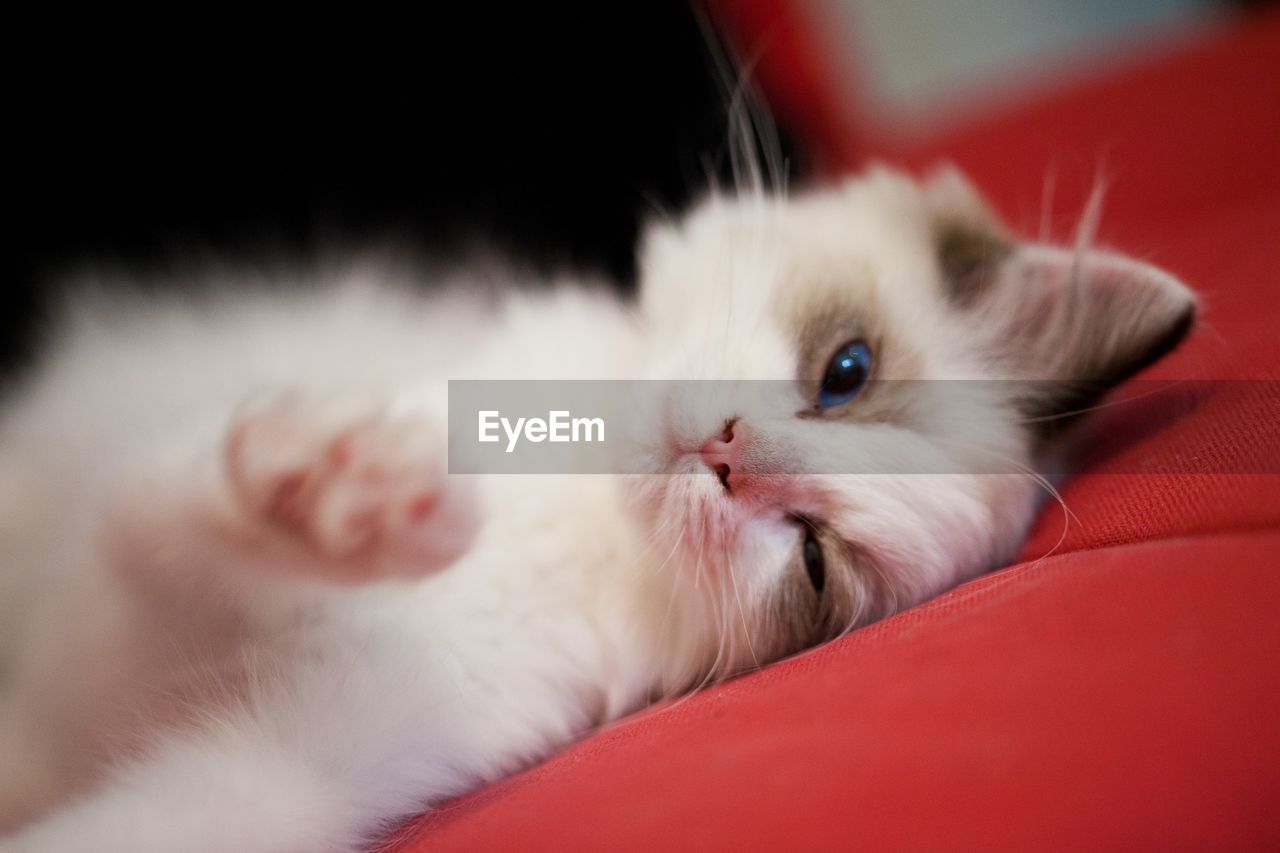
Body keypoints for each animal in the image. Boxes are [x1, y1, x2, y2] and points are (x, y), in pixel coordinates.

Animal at [2, 166, 1198, 850]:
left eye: (814, 559)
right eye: (846, 372)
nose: (726, 457)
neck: (570, 526)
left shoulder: (285, 760)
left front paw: (362, 507)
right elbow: (178, 503)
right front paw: (342, 488)